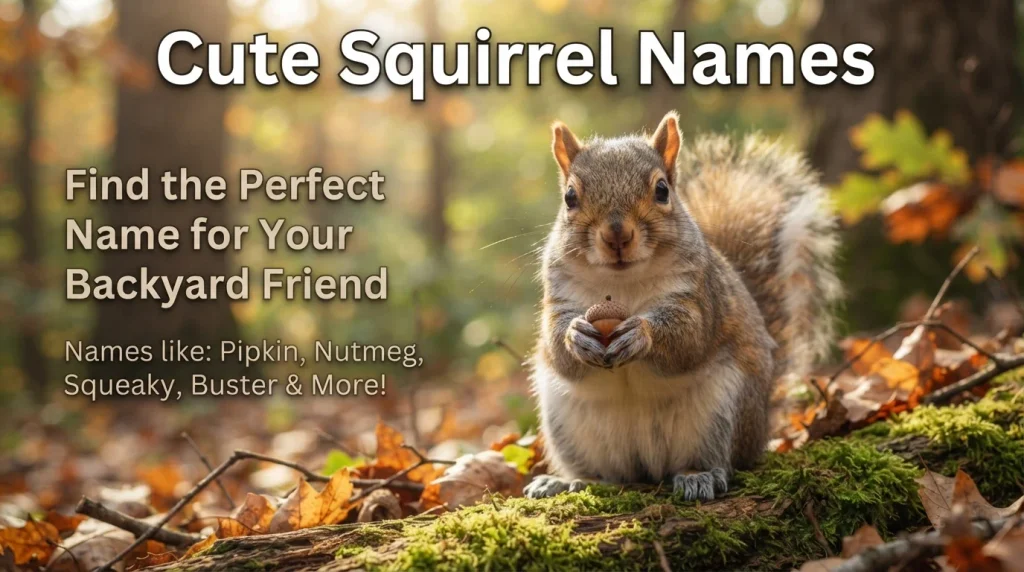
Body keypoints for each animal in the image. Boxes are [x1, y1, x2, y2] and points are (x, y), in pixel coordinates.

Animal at [524, 111, 841, 501]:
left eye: (662, 190)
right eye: (570, 197)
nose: (617, 235)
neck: (621, 283)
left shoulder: (699, 296)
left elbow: (690, 339)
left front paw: (641, 334)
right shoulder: (559, 295)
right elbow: (558, 349)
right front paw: (575, 336)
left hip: (720, 413)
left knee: (718, 460)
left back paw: (698, 475)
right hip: (569, 425)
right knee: (607, 474)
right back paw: (568, 480)